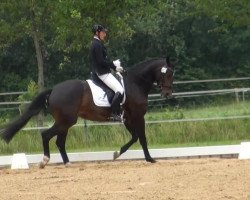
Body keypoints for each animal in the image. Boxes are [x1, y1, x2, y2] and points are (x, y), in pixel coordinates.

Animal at [0, 57, 175, 168]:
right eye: (167, 73)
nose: (167, 94)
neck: (135, 83)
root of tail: (54, 90)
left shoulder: (128, 119)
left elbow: (135, 137)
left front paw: (116, 153)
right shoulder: (138, 117)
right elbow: (142, 138)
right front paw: (150, 159)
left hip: (65, 122)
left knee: (59, 142)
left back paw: (67, 163)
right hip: (65, 121)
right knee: (46, 135)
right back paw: (44, 161)